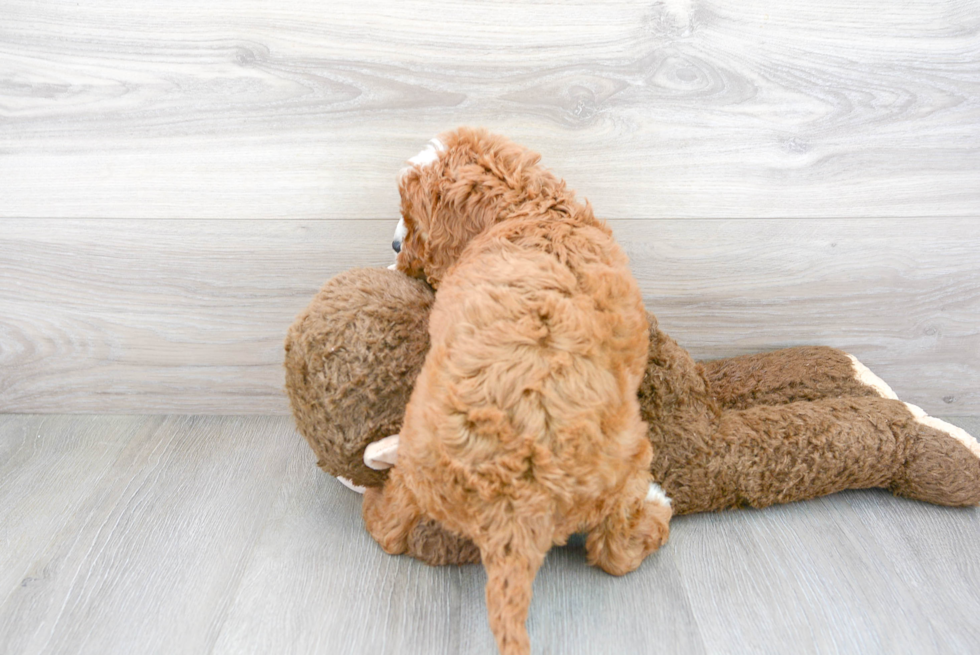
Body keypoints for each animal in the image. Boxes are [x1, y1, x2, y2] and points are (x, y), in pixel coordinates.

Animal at [362, 129, 672, 655]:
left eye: (410, 215)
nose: (394, 241)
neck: (529, 207)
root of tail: (513, 502)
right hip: (628, 460)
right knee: (616, 549)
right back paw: (659, 505)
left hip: (419, 458)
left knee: (391, 527)